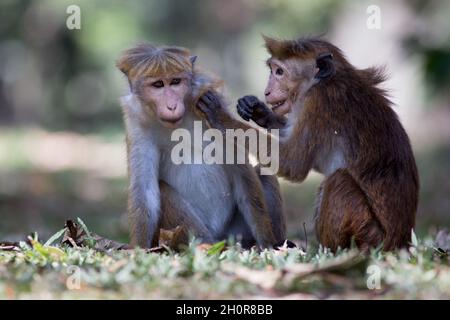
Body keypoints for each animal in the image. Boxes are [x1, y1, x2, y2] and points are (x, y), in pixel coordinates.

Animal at [116, 43, 284, 250]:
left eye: (175, 82)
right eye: (158, 85)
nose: (172, 106)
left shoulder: (211, 101)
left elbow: (241, 173)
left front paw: (267, 244)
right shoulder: (137, 126)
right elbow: (145, 191)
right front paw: (138, 250)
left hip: (235, 232)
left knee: (263, 173)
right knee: (163, 190)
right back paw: (206, 244)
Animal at [199, 36, 420, 251]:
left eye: (280, 72)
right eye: (272, 70)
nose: (267, 91)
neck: (326, 81)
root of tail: (400, 243)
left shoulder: (318, 102)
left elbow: (294, 163)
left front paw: (221, 116)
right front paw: (260, 112)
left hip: (371, 236)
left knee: (338, 181)